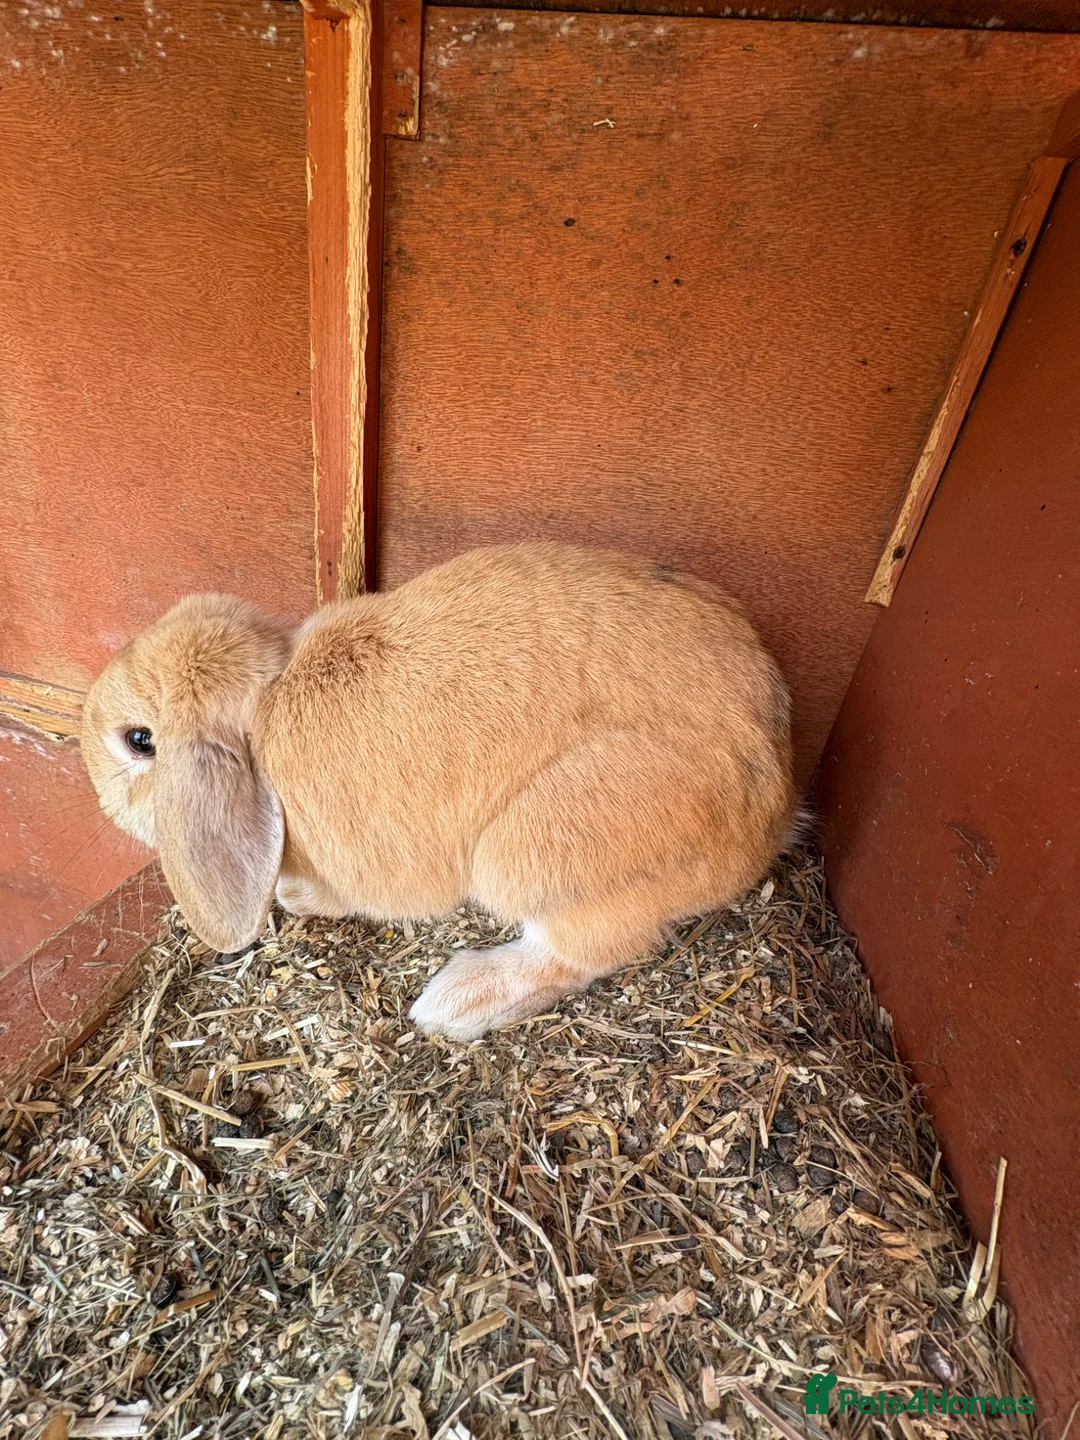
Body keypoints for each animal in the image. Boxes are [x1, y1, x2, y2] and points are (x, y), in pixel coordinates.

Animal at [81, 543, 798, 1041]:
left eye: (138, 740)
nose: (93, 786)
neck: (266, 707)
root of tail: (776, 801)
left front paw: (294, 897)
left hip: (533, 854)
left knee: (582, 953)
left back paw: (454, 1003)